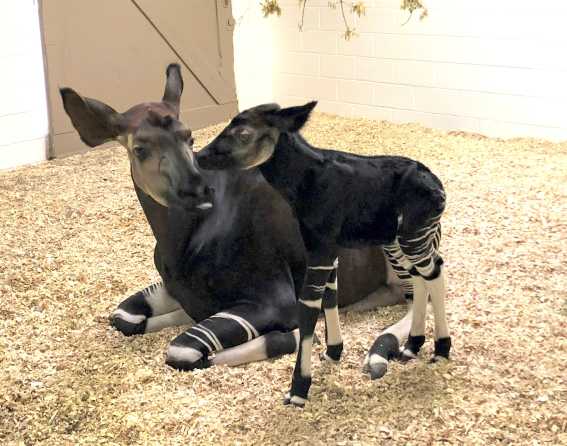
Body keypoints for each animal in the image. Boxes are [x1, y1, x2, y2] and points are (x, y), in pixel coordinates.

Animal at [197, 102, 450, 408]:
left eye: (244, 133)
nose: (199, 156)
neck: (305, 181)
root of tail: (437, 184)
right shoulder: (328, 251)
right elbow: (331, 295)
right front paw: (332, 353)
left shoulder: (319, 248)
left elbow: (308, 308)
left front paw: (298, 390)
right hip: (399, 241)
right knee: (423, 276)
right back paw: (413, 346)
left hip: (413, 235)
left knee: (433, 274)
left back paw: (441, 350)